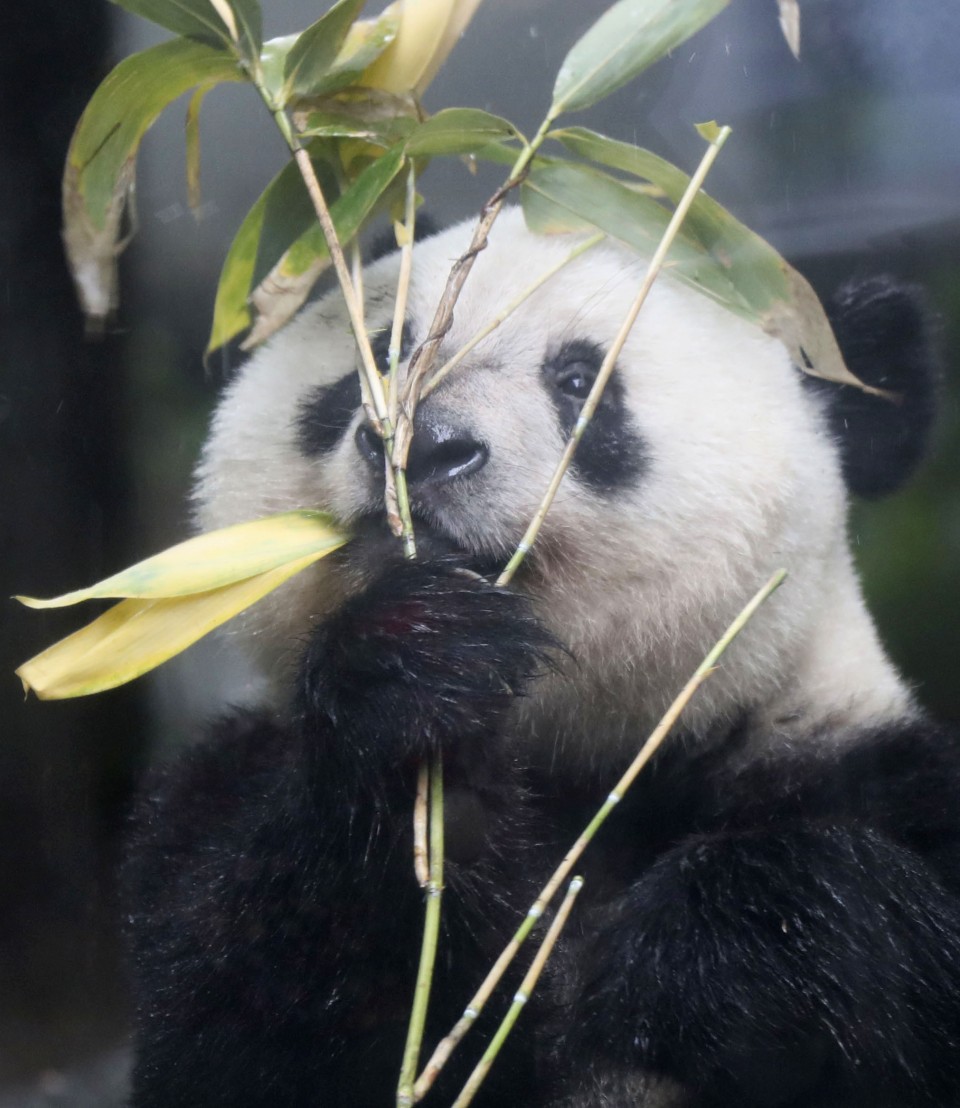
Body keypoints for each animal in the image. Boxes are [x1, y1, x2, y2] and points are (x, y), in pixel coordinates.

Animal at [125, 208, 960, 1107]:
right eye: (385, 353)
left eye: (578, 380)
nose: (423, 447)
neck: (579, 756)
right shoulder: (212, 789)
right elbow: (230, 1019)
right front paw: (421, 681)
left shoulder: (867, 774)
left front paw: (709, 942)